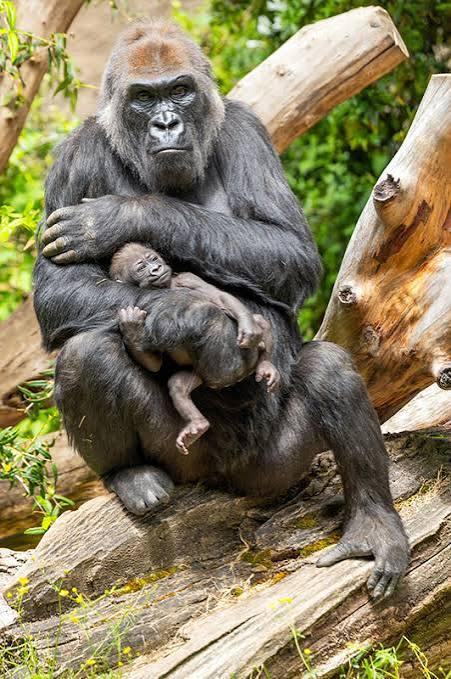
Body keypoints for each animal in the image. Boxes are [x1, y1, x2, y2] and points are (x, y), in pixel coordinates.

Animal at [110, 242, 280, 454]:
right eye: (141, 268)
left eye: (153, 259)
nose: (156, 269)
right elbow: (154, 364)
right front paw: (131, 329)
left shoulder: (187, 277)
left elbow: (220, 297)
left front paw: (248, 329)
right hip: (201, 376)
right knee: (177, 385)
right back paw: (197, 425)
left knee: (259, 321)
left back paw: (266, 364)